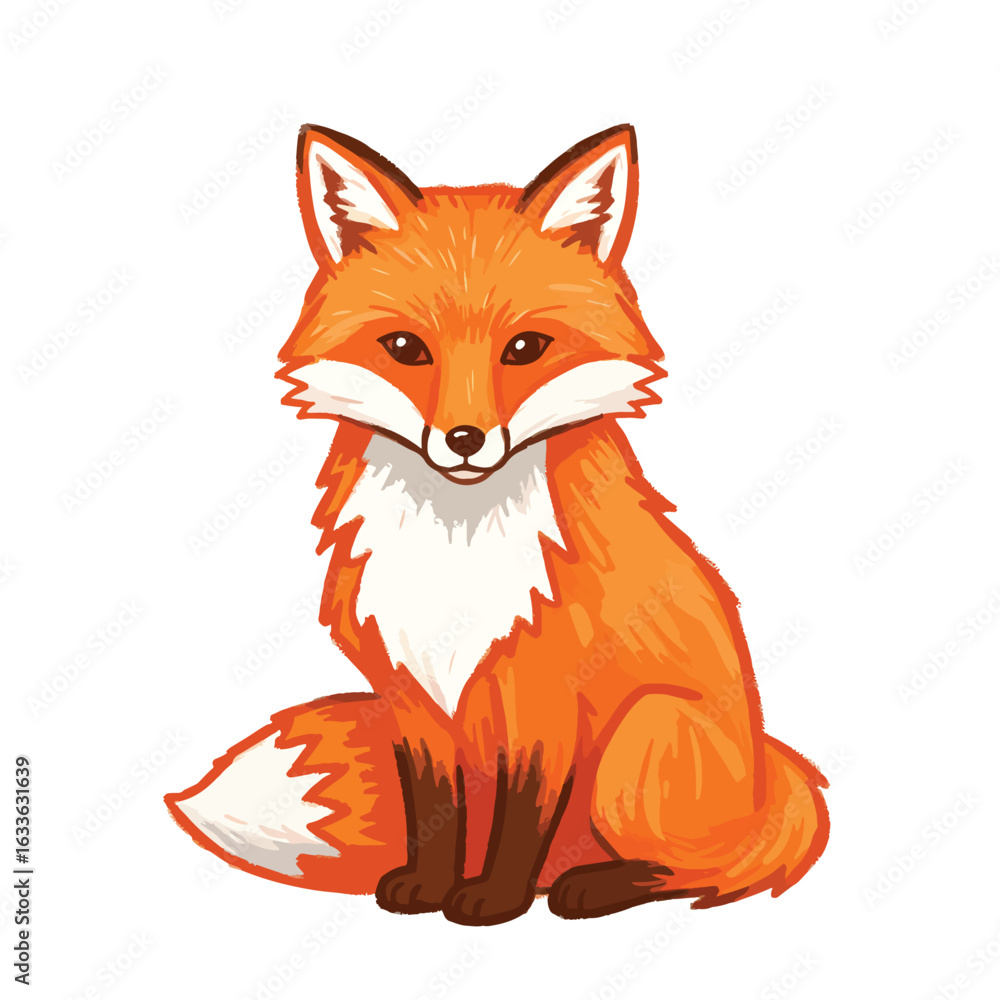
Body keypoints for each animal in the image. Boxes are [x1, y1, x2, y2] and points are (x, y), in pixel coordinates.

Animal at [166, 123, 829, 924]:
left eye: (525, 349)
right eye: (405, 349)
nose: (464, 439)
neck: (457, 550)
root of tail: (770, 771)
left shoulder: (543, 699)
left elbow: (522, 816)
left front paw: (493, 899)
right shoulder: (412, 696)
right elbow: (434, 808)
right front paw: (428, 888)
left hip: (639, 740)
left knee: (703, 865)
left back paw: (595, 886)